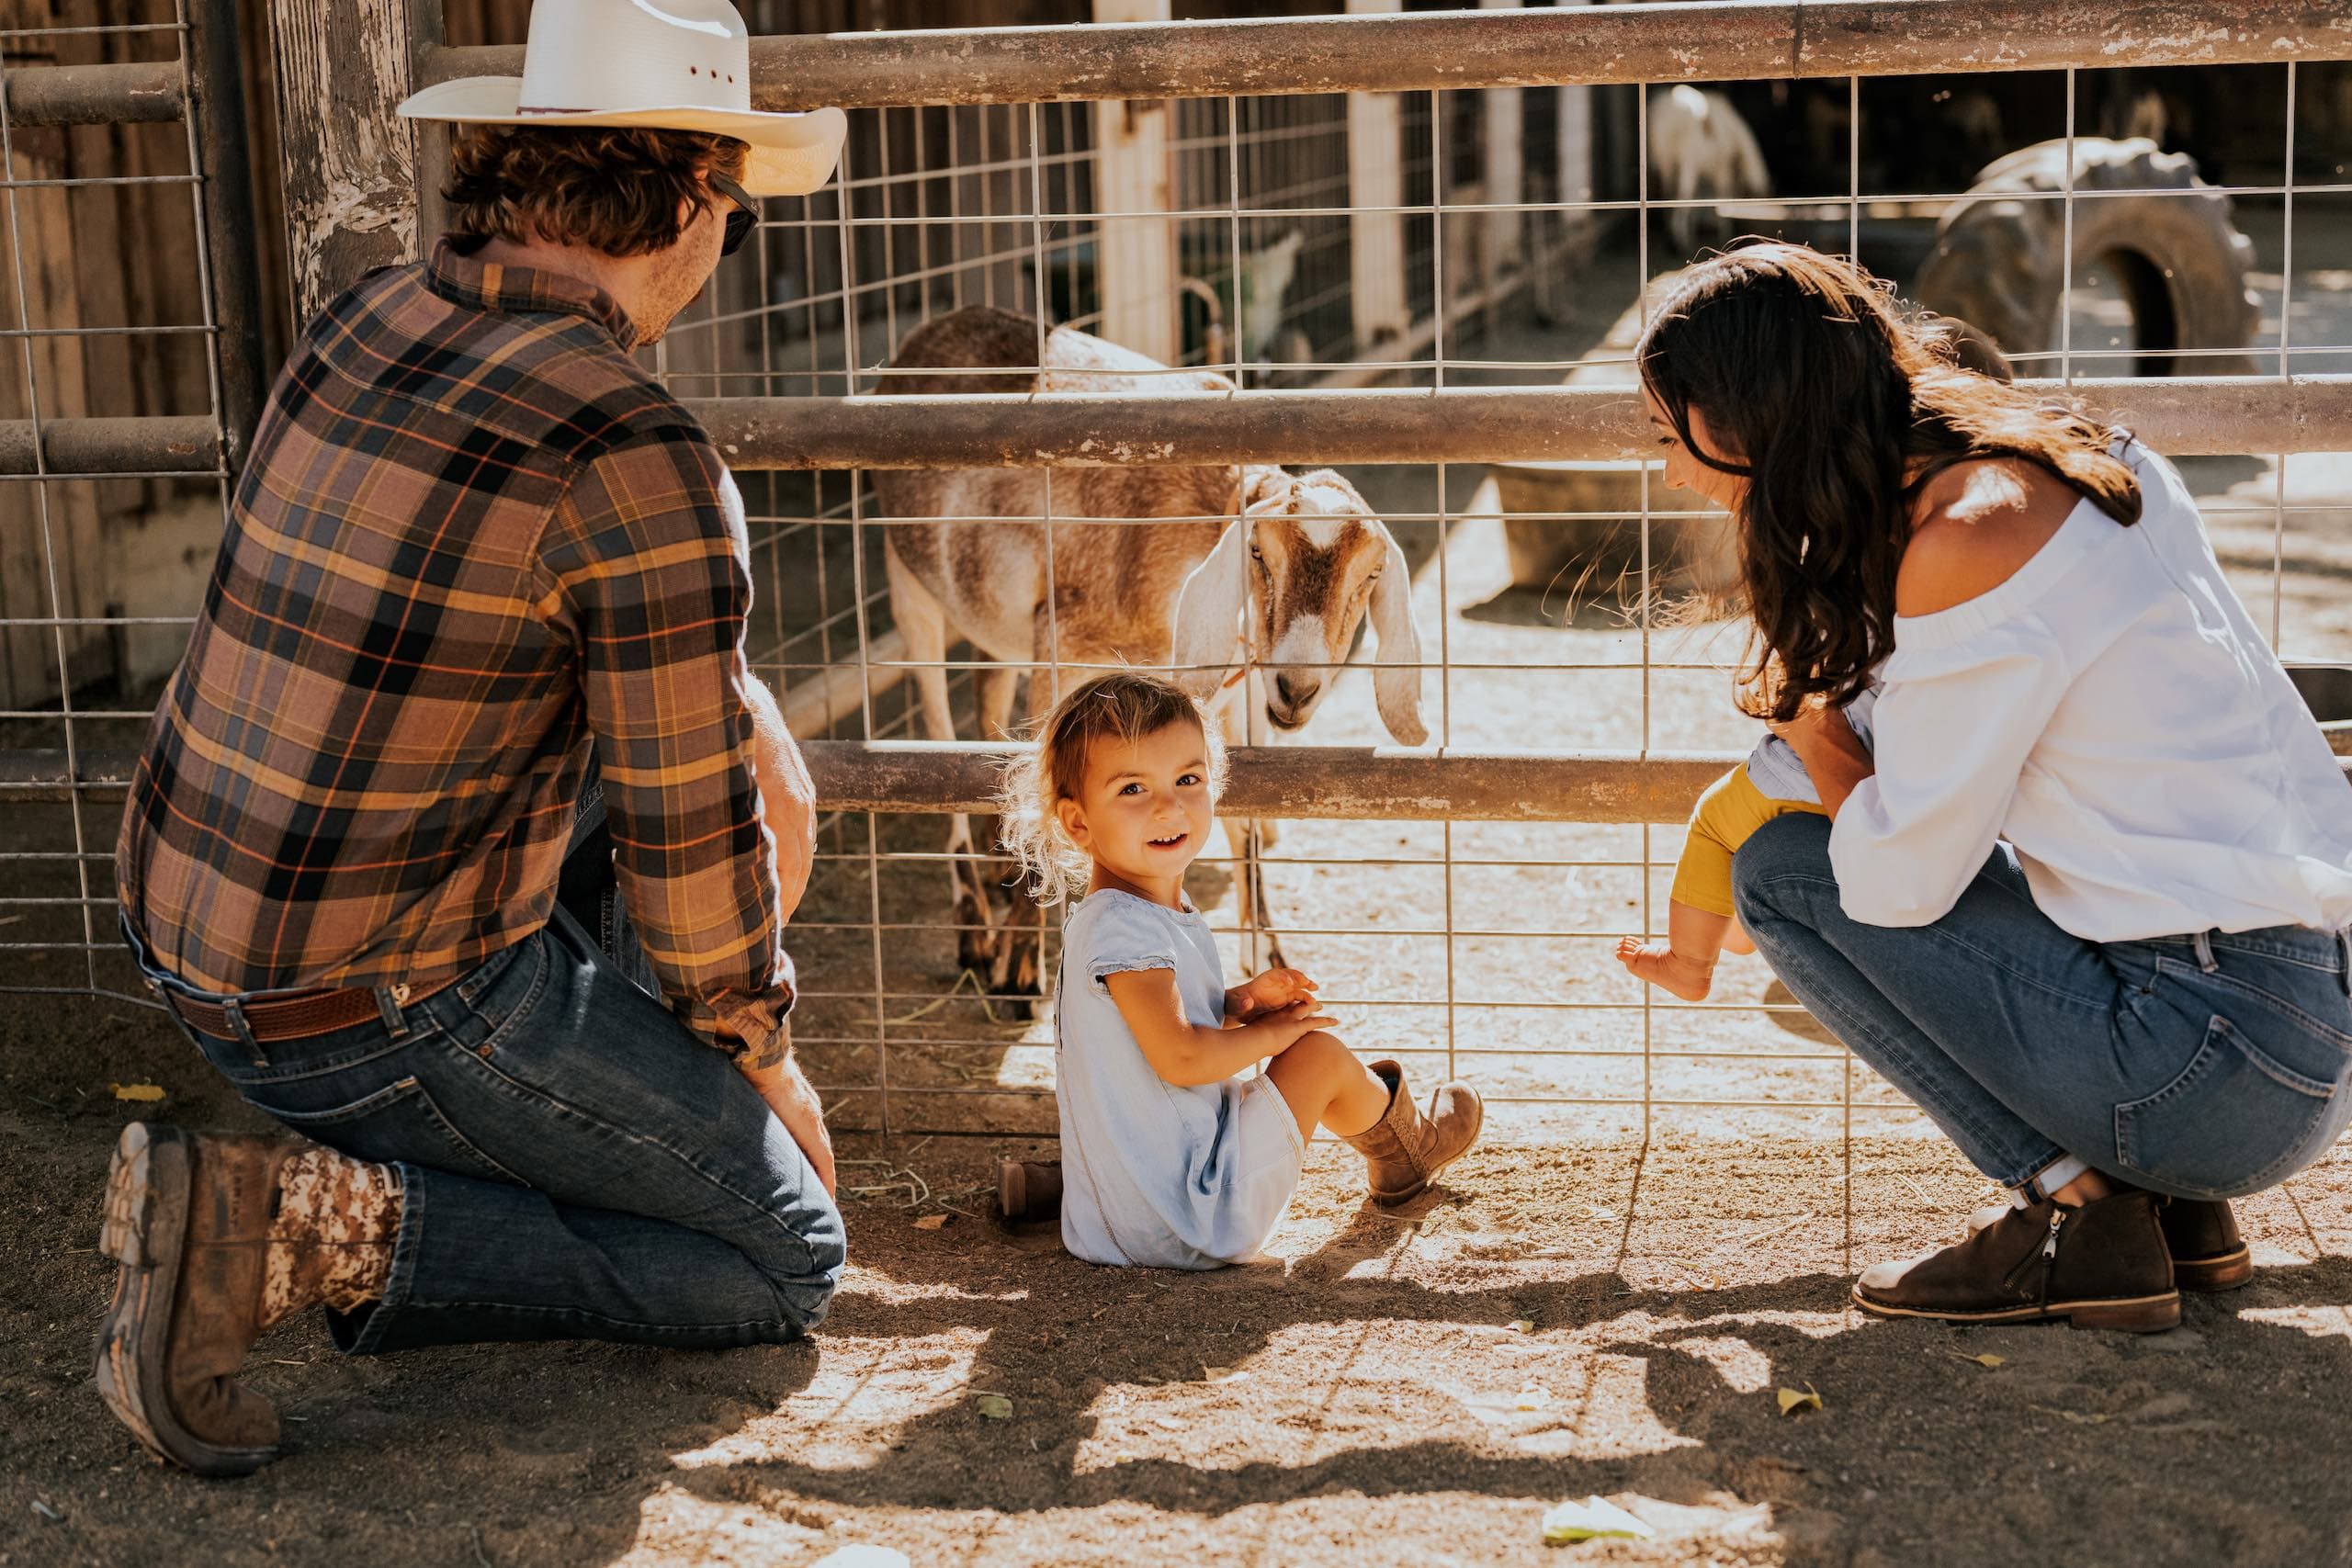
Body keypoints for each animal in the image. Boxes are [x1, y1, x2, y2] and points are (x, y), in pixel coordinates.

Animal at [875, 303, 1420, 1006]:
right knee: (937, 723)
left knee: (985, 703)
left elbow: (1244, 819)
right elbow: (1042, 790)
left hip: (994, 625)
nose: (1296, 689)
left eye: (1371, 576)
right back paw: (974, 927)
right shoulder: (1061, 646)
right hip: (907, 583)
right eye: (1257, 554)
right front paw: (1020, 967)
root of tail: (933, 326)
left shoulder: (1231, 693)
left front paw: (1268, 955)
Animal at [1646, 86, 1769, 254]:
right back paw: (1680, 244)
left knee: (1668, 194)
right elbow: (1722, 196)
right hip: (1688, 160)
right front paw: (1726, 237)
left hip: (1667, 163)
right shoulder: (1721, 169)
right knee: (1682, 196)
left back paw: (1672, 240)